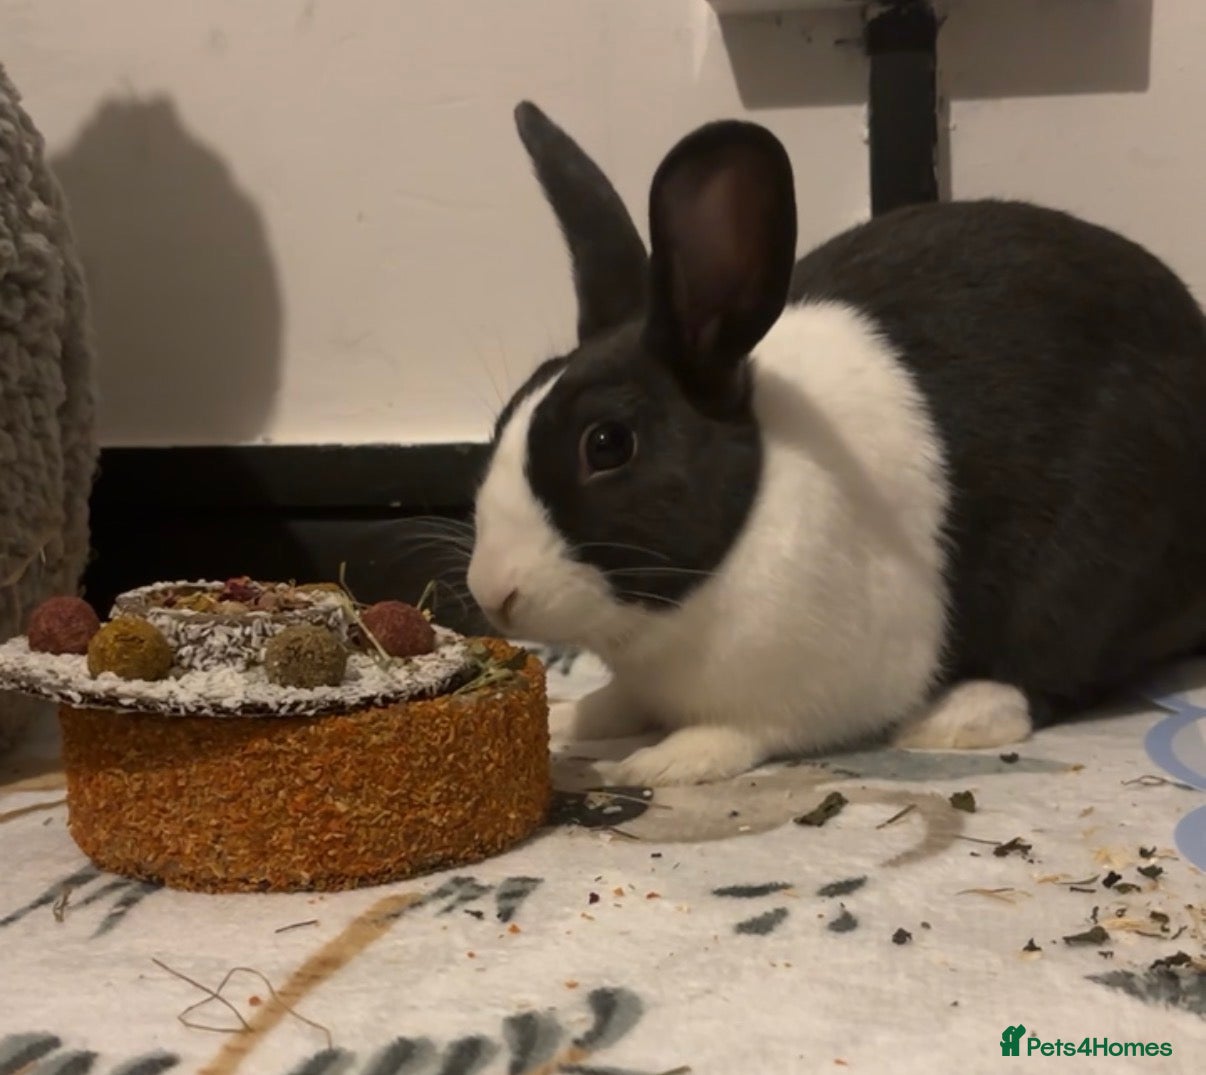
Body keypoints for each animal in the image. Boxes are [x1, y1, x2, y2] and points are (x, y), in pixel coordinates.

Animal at [466, 100, 1206, 787]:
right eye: (505, 415)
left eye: (607, 443)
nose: (491, 592)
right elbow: (618, 702)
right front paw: (573, 718)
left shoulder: (802, 693)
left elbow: (738, 732)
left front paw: (662, 762)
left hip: (1100, 553)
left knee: (1060, 665)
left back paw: (953, 717)